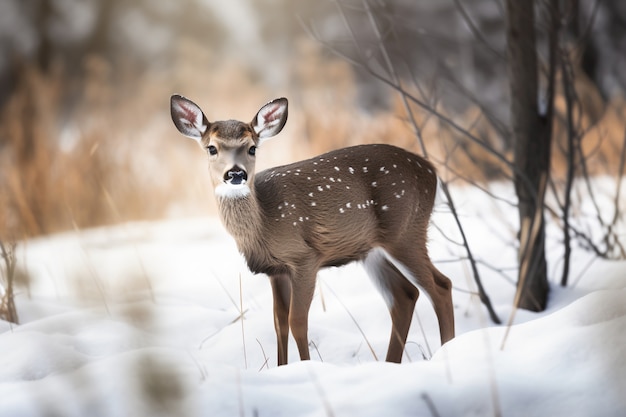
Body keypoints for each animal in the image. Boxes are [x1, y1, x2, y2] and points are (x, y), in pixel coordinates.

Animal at [171, 94, 454, 364]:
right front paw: (282, 369)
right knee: (404, 295)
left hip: (406, 231)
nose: (236, 174)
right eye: (212, 148)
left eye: (252, 148)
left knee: (441, 285)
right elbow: (279, 323)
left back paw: (447, 352)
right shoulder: (276, 270)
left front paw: (307, 367)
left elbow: (297, 321)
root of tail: (432, 172)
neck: (264, 225)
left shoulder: (304, 257)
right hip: (373, 250)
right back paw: (392, 363)